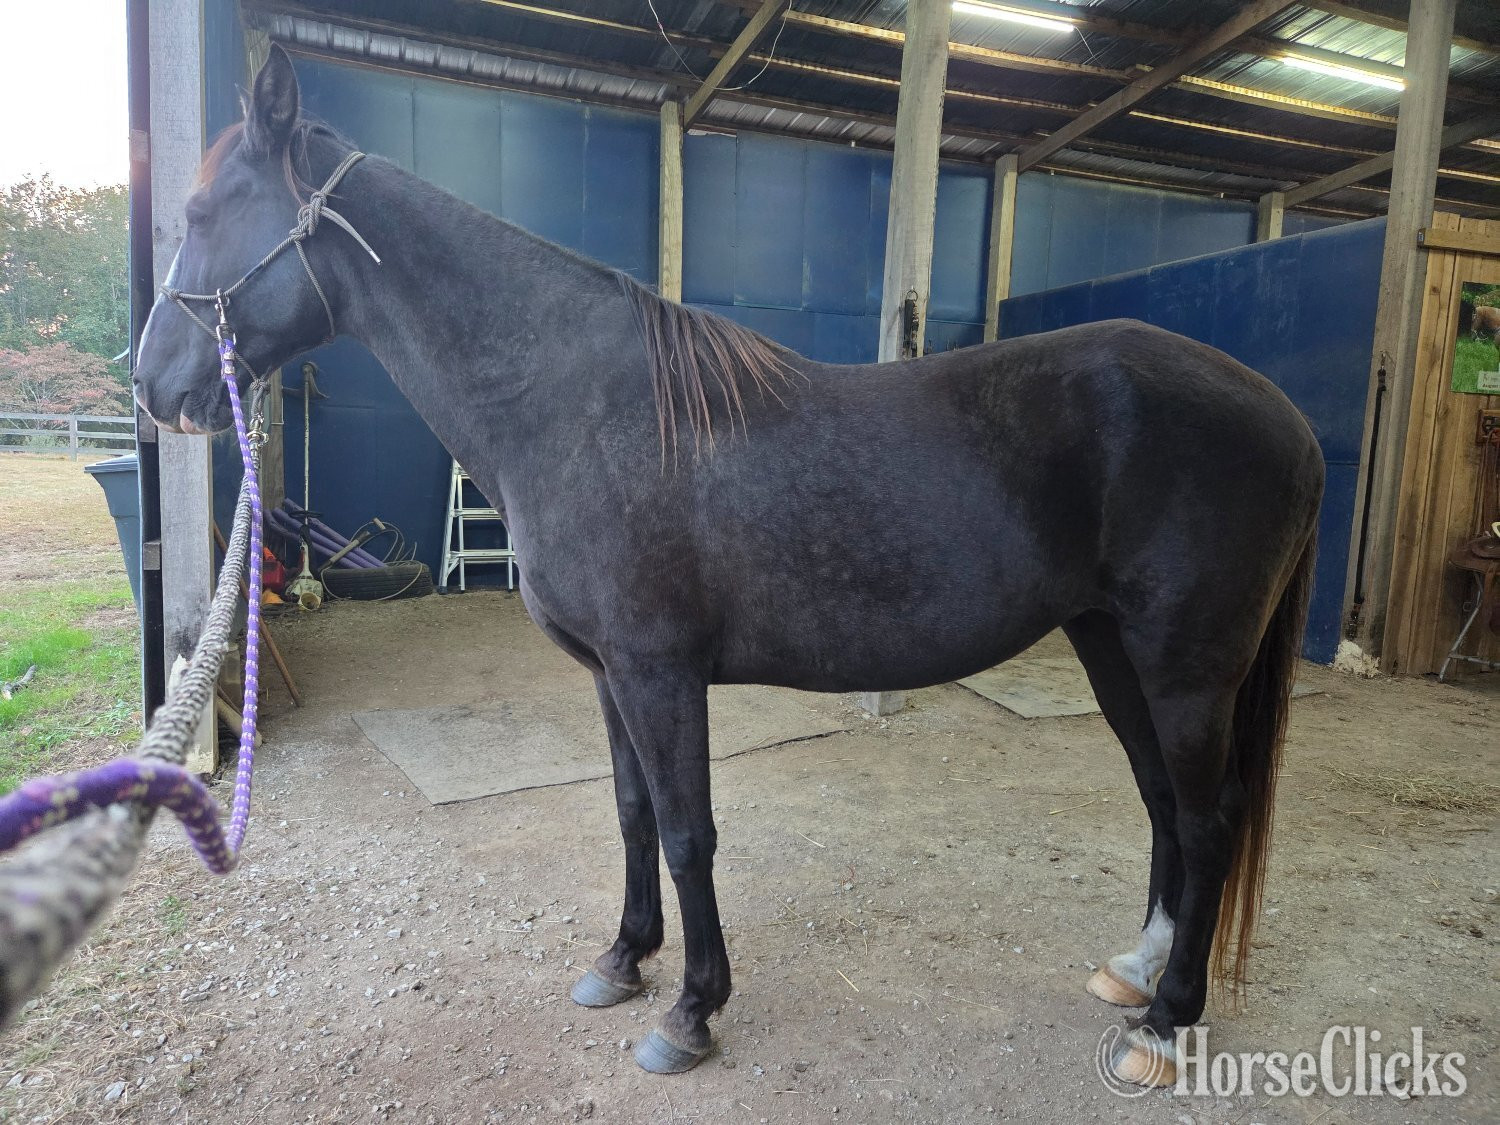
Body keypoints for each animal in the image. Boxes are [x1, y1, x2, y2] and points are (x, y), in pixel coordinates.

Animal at [134, 47, 1324, 1087]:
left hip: (1186, 668)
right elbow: (629, 815)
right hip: (1112, 648)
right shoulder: (611, 675)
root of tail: (1291, 421)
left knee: (1208, 818)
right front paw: (622, 960)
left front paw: (692, 1010)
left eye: (201, 216)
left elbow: (686, 830)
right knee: (1163, 801)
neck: (575, 403)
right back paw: (1135, 975)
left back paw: (1168, 1021)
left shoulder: (661, 672)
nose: (151, 383)